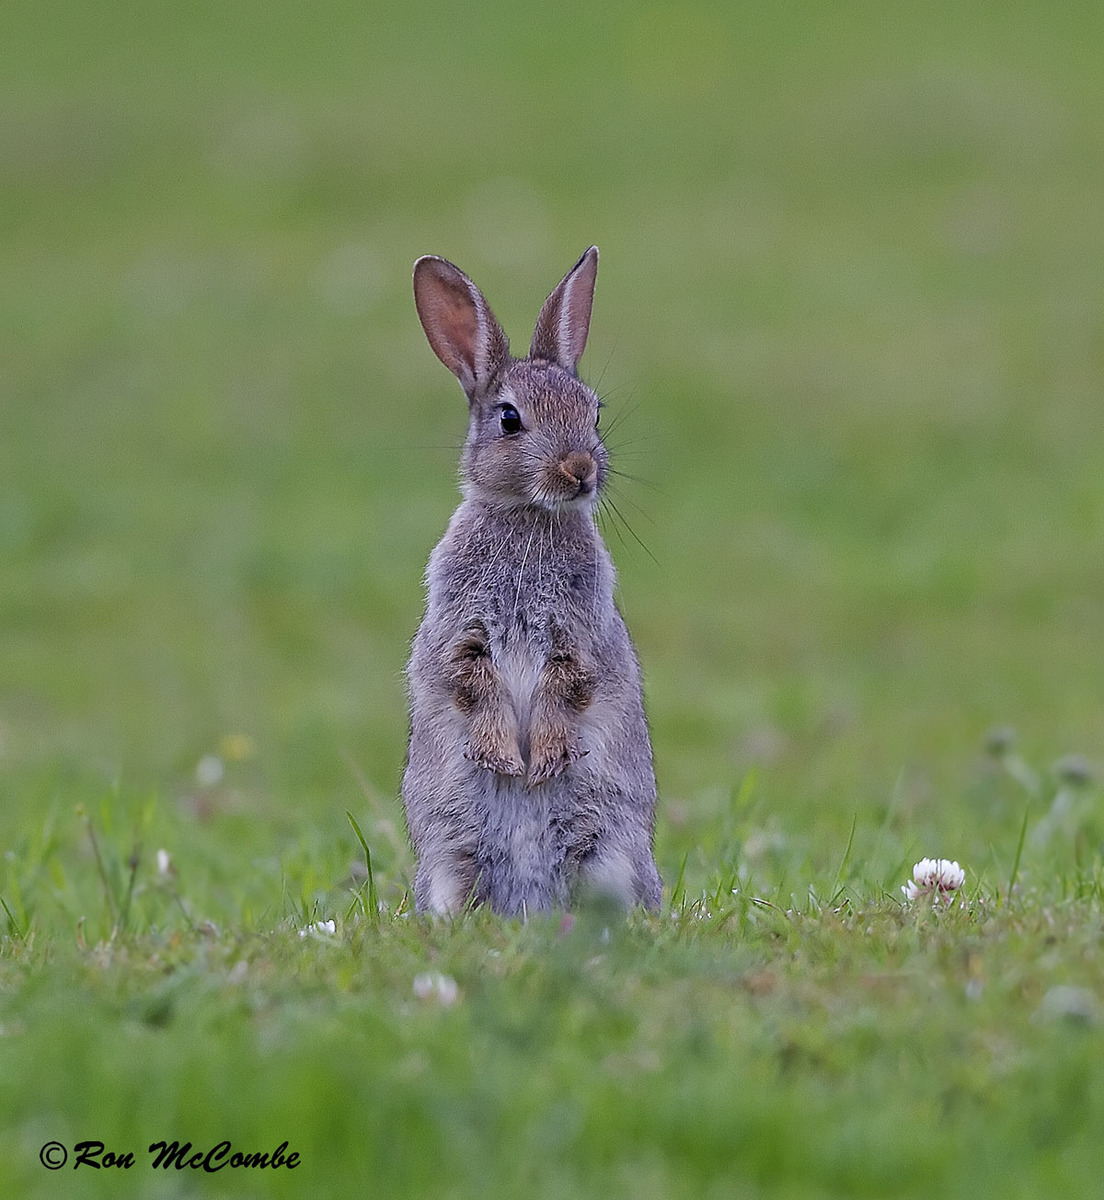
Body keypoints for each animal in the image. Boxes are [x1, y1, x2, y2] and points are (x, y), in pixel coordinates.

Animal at [402, 246, 662, 916]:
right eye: (510, 419)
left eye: (593, 411)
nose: (580, 469)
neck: (528, 517)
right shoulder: (462, 634)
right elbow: (473, 682)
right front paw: (505, 759)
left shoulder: (577, 635)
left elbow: (565, 687)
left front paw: (539, 763)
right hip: (450, 855)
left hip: (608, 850)